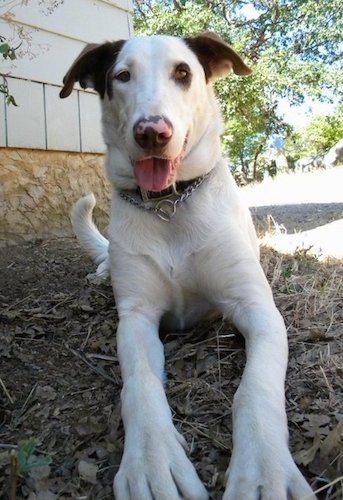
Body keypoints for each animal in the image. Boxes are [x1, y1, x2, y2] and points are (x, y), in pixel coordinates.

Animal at [60, 32, 316, 500]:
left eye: (183, 72)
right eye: (122, 76)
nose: (151, 132)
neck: (170, 207)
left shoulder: (258, 310)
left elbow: (256, 386)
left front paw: (264, 469)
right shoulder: (136, 317)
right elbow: (140, 384)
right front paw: (151, 460)